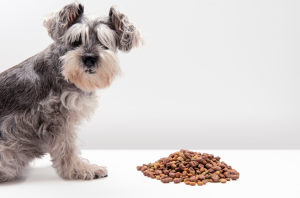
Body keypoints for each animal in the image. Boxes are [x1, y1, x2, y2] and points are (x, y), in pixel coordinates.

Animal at [0, 0, 144, 182]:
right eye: (76, 40)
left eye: (105, 42)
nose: (89, 58)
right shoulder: (56, 118)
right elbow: (66, 147)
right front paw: (80, 170)